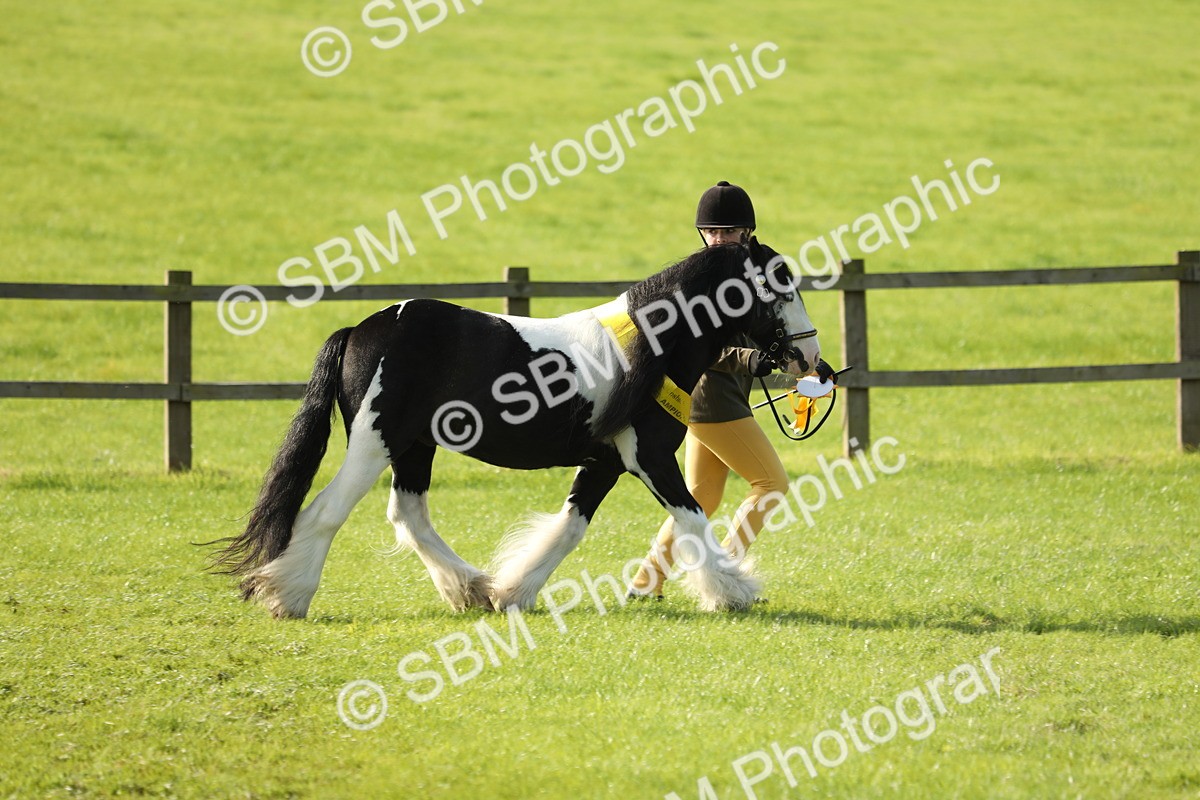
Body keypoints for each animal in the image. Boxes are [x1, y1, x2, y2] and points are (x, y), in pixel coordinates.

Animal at [208, 239, 822, 617]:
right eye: (781, 285)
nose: (810, 358)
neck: (650, 347)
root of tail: (362, 328)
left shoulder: (604, 462)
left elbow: (569, 529)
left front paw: (513, 592)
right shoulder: (648, 457)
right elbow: (692, 517)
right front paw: (735, 591)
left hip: (415, 447)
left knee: (408, 514)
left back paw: (473, 589)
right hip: (375, 441)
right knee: (327, 511)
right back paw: (289, 597)